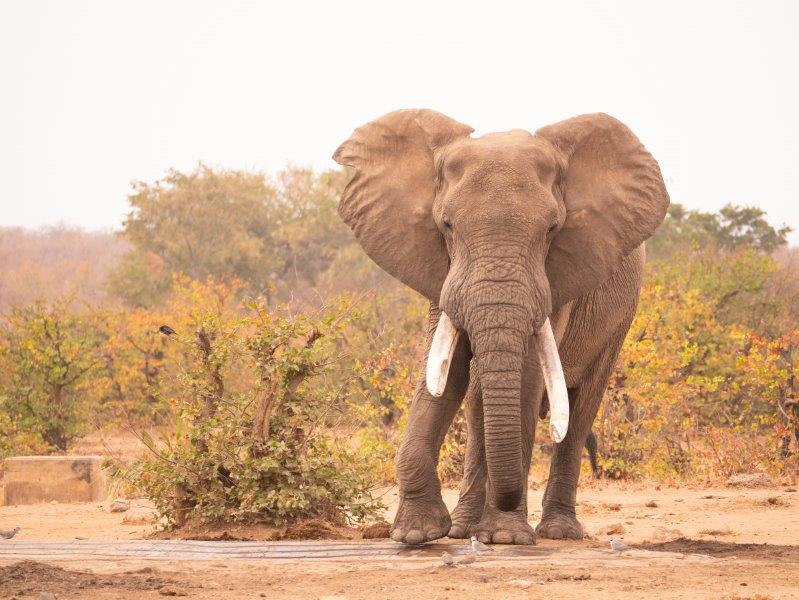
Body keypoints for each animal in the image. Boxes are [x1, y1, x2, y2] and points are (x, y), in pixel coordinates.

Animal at [332, 108, 668, 544]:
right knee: (478, 405)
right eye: (447, 225)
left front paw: (507, 538)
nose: (508, 502)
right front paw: (418, 534)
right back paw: (463, 529)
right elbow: (448, 371)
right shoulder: (440, 268)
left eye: (552, 229)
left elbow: (526, 374)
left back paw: (557, 532)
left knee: (580, 410)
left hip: (621, 317)